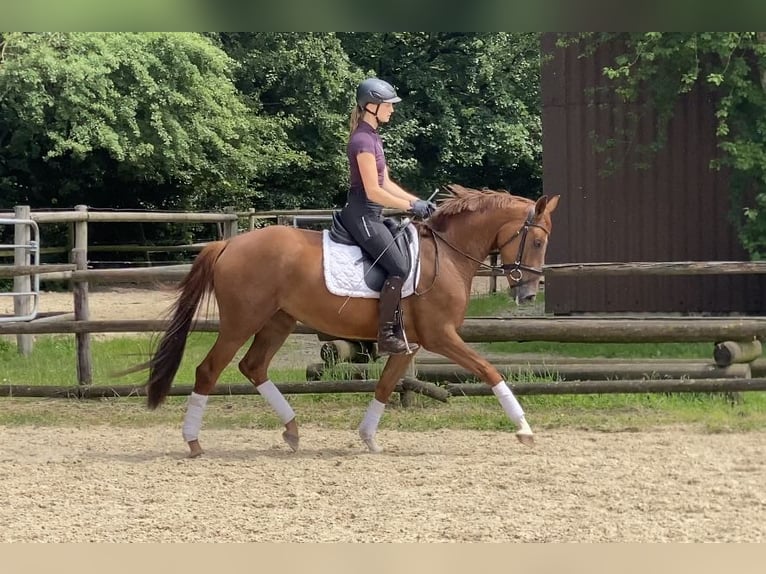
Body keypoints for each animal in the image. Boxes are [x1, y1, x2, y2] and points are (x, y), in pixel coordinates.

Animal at [141, 184, 560, 460]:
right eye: (538, 242)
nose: (528, 295)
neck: (448, 255)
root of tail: (228, 243)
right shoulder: (441, 337)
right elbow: (489, 370)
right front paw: (524, 429)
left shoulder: (412, 343)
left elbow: (387, 385)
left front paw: (368, 437)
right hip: (241, 322)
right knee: (209, 370)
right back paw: (193, 442)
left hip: (278, 321)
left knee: (253, 366)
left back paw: (292, 430)